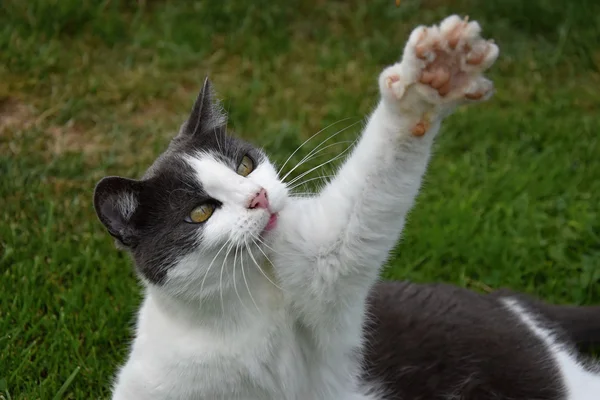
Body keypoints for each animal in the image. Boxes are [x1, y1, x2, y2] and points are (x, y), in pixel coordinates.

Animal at [94, 15, 600, 400]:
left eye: (244, 164)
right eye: (200, 212)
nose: (259, 197)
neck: (239, 308)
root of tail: (505, 300)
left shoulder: (322, 280)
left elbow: (355, 215)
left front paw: (429, 80)